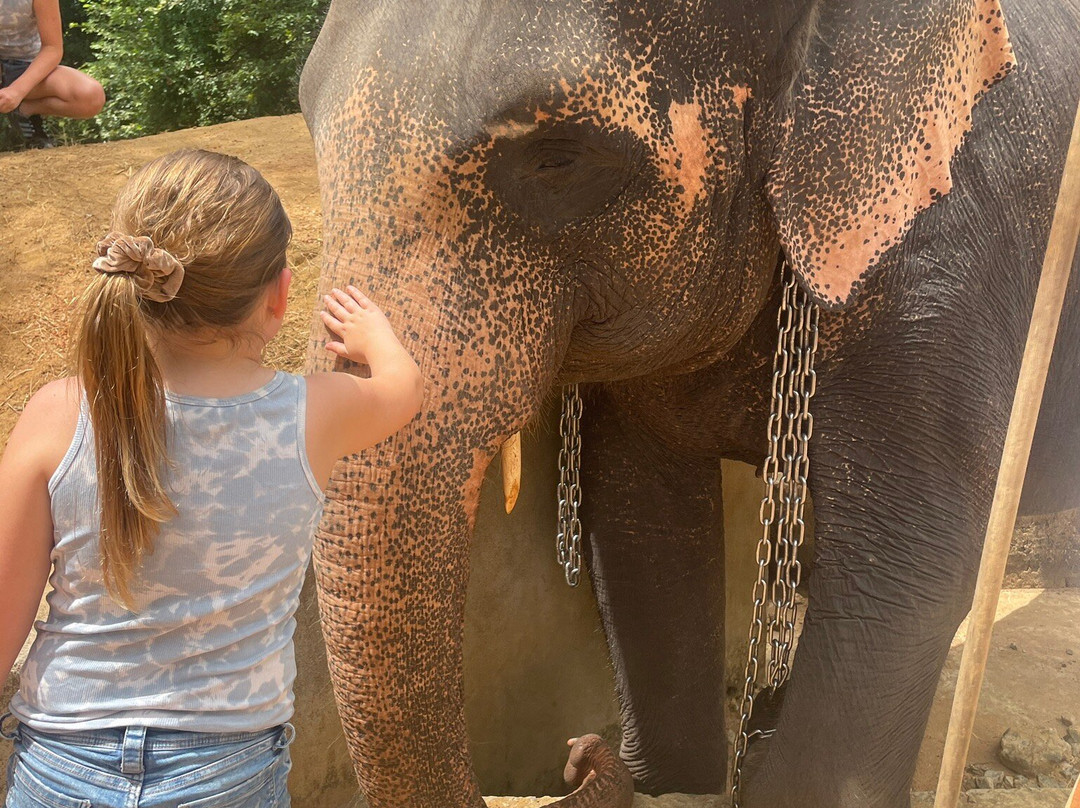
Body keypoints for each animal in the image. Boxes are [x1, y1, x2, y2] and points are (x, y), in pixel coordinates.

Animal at [297, 0, 1080, 806]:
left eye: (558, 158)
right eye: (310, 125)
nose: (579, 753)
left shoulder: (942, 254)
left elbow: (906, 572)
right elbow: (640, 524)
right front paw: (673, 784)